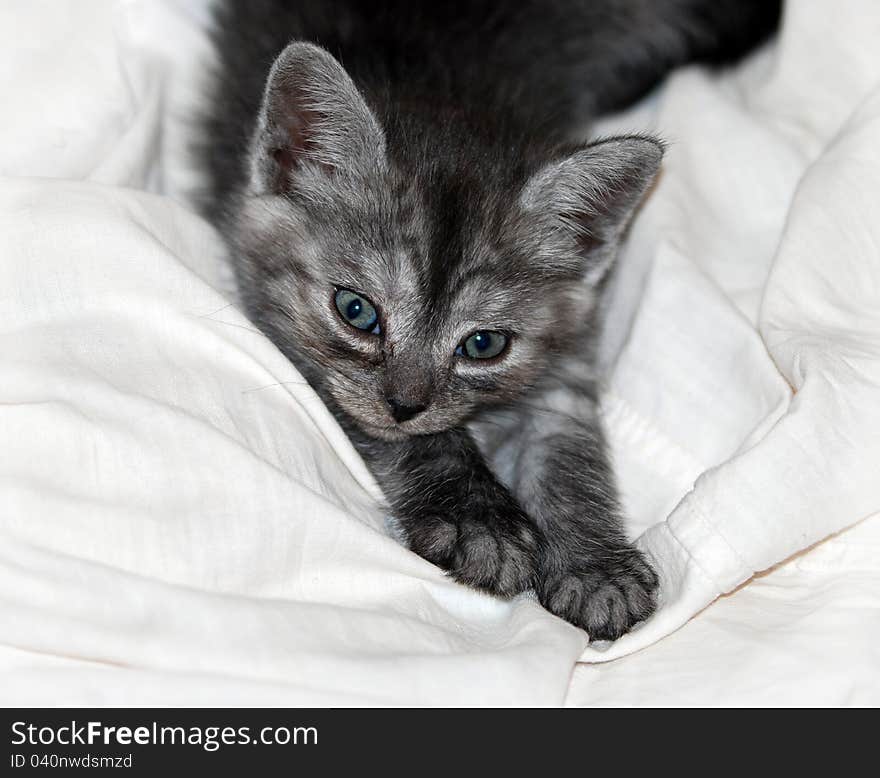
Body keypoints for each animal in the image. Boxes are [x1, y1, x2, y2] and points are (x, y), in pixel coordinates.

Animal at [199, 0, 776, 636]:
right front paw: (479, 523)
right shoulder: (284, 325)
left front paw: (595, 567)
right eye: (357, 311)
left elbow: (568, 448)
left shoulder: (568, 343)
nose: (403, 406)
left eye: (482, 345)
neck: (447, 89)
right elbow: (412, 437)